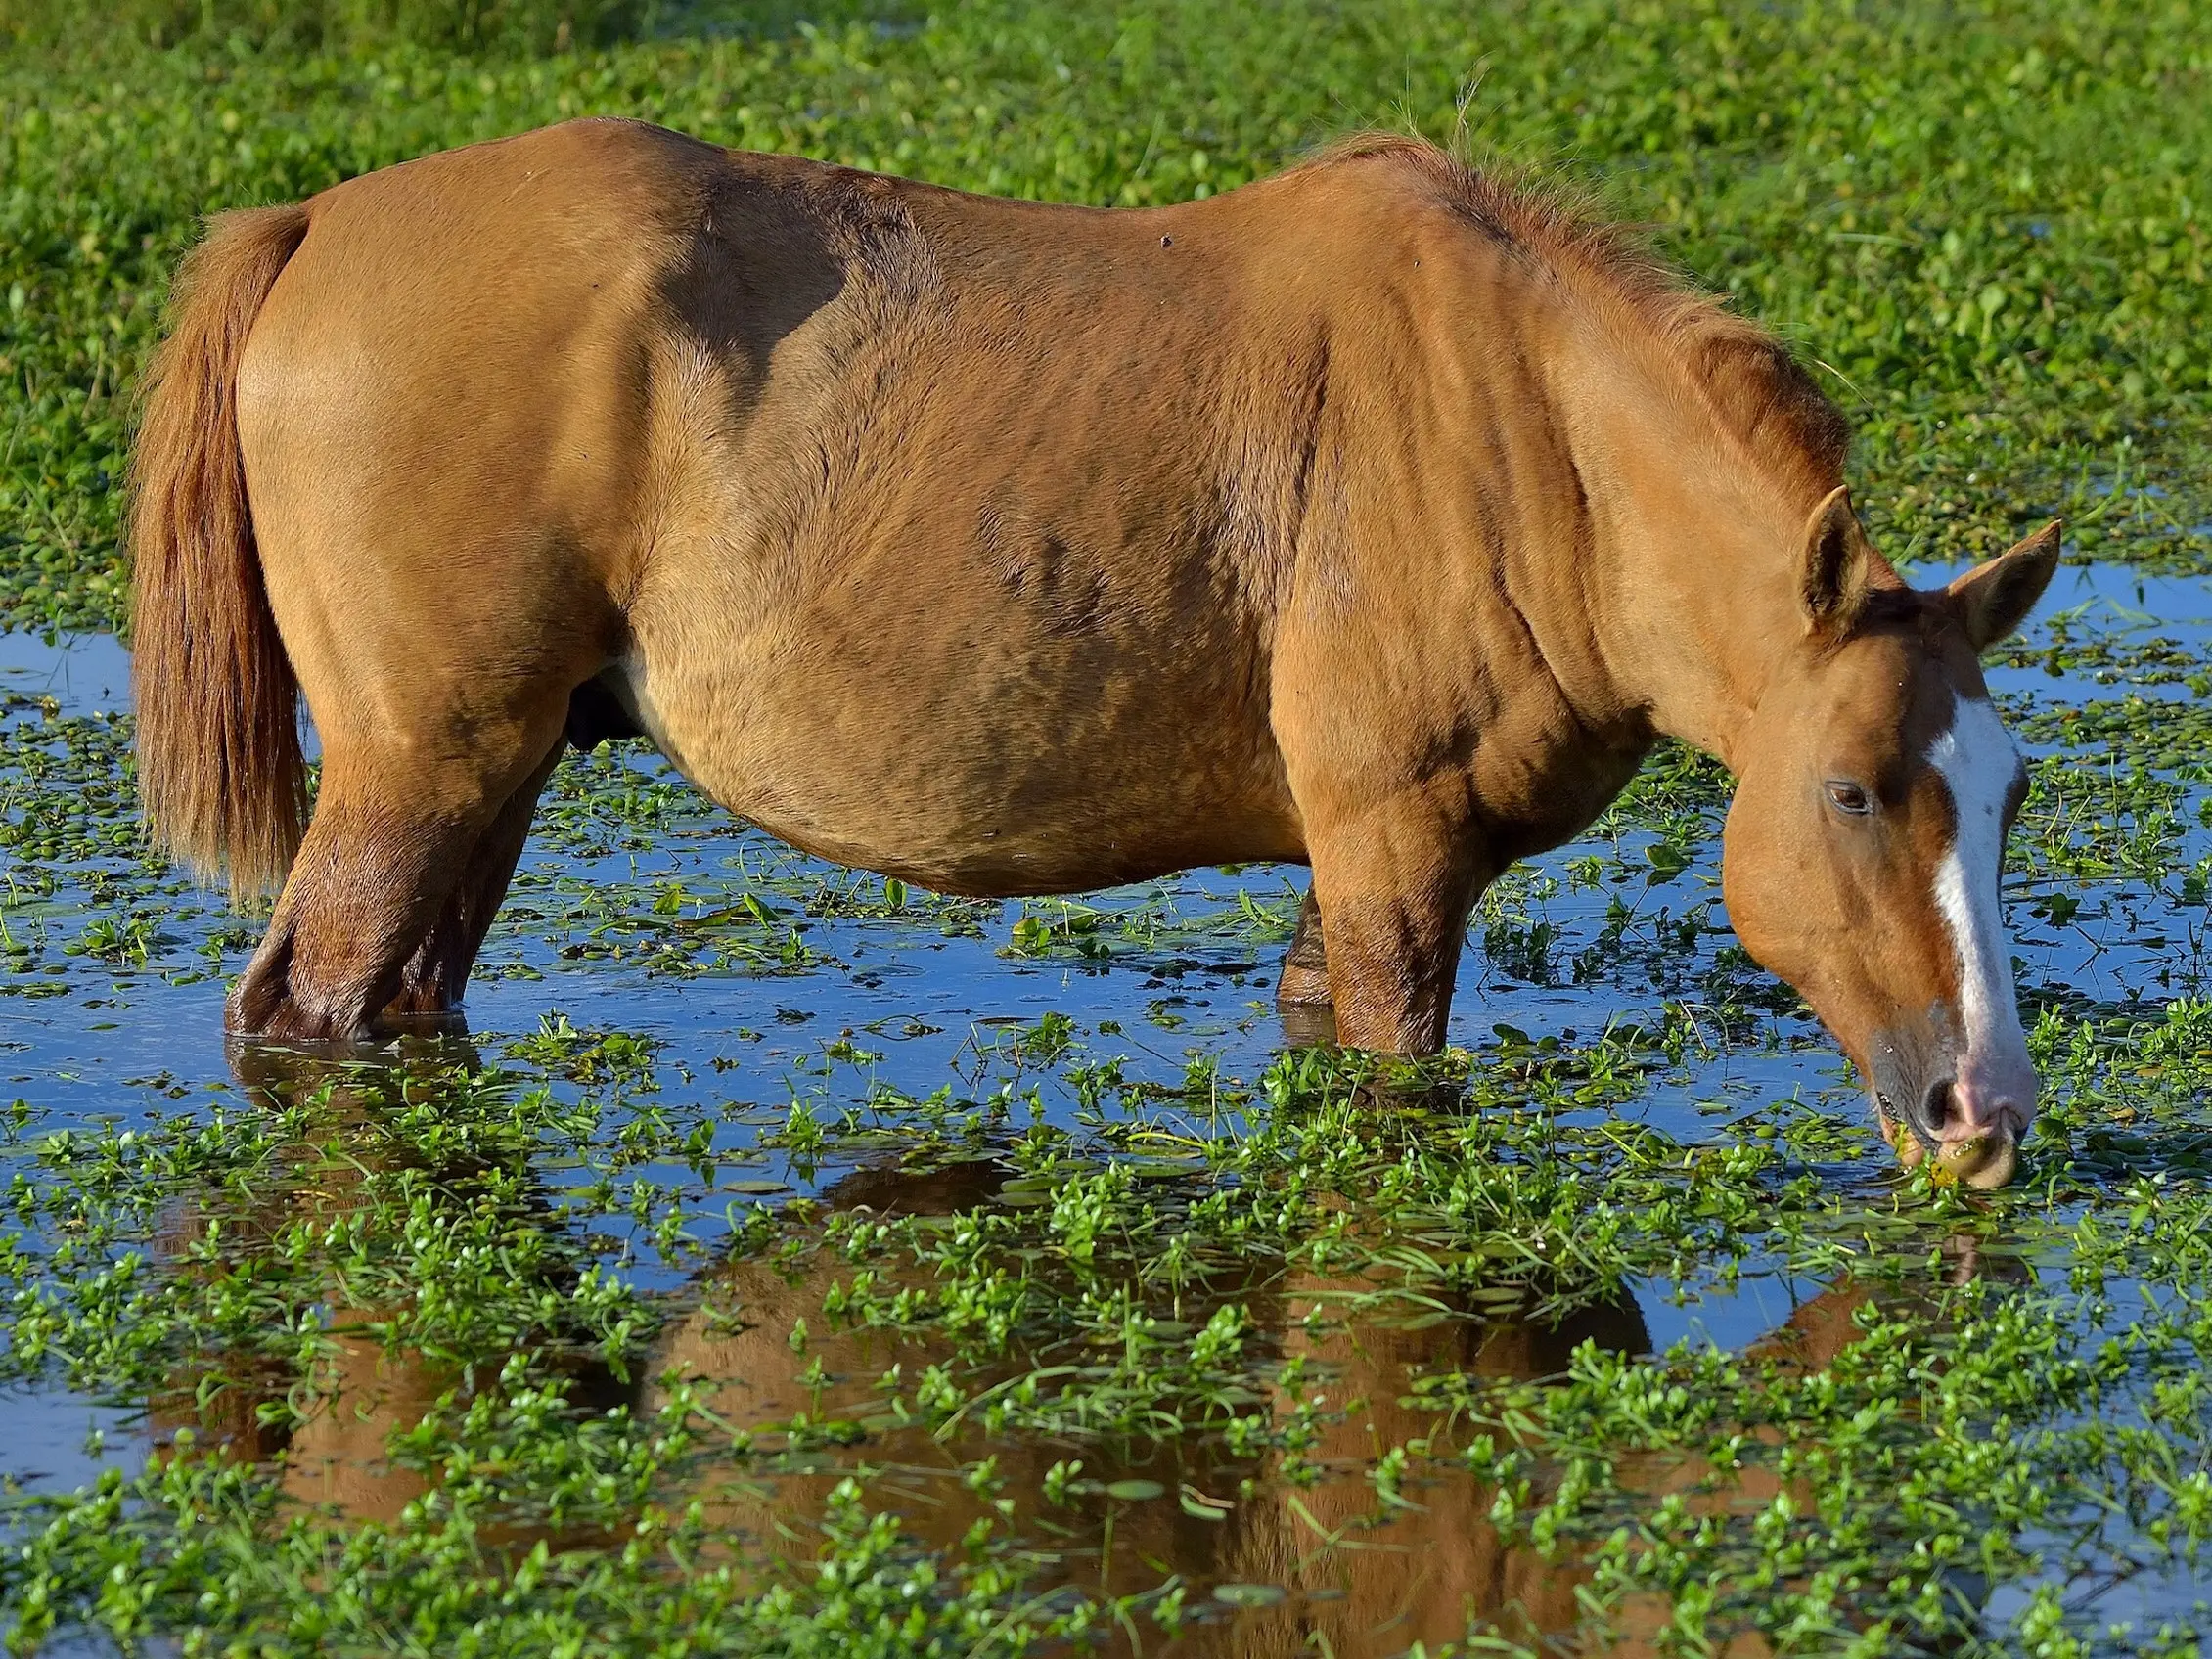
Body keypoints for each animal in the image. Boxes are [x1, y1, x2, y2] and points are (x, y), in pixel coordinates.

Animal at [129, 116, 2061, 1186]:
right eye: (1854, 792)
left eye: (2009, 797)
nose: (1981, 1109)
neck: (1532, 441)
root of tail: (314, 224)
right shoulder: (1395, 856)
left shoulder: (1356, 873)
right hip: (417, 770)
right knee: (309, 1015)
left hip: (493, 775)